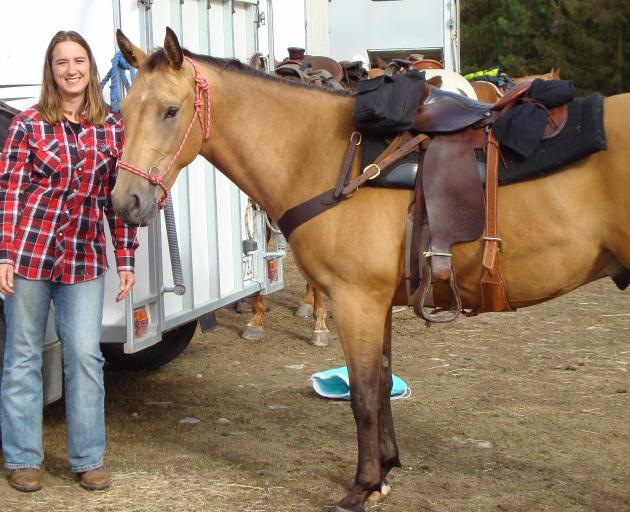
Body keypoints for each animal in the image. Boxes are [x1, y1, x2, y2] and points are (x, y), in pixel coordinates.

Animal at [112, 30, 630, 510]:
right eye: (123, 110)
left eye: (170, 111)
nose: (125, 201)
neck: (322, 155)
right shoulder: (378, 304)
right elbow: (380, 385)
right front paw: (385, 471)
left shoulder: (355, 301)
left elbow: (361, 397)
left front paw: (361, 488)